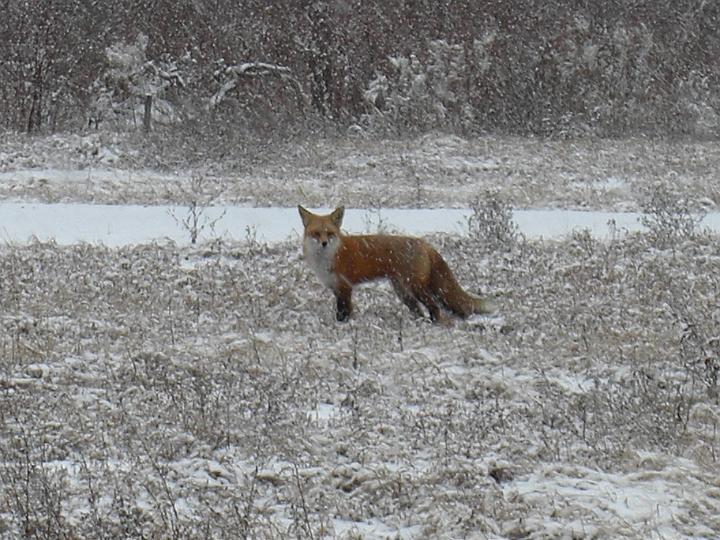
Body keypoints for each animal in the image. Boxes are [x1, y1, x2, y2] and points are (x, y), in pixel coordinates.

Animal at [298, 206, 496, 322]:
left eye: (330, 233)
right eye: (316, 233)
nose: (324, 243)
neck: (328, 257)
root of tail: (424, 243)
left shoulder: (345, 287)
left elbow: (344, 312)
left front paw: (344, 326)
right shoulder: (335, 287)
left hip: (415, 287)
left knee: (434, 306)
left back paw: (434, 324)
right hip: (403, 292)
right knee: (419, 310)